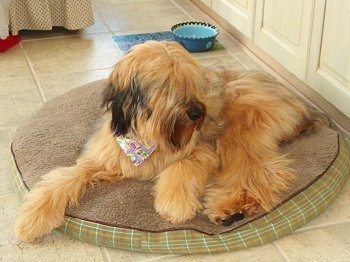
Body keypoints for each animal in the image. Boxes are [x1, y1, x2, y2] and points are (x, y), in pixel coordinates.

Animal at [15, 40, 322, 242]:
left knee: (257, 172)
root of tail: (303, 105)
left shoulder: (200, 150)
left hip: (239, 128)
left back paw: (230, 208)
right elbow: (62, 179)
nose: (197, 113)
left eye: (191, 82)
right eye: (166, 85)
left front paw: (175, 206)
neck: (149, 136)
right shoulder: (103, 157)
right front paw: (32, 218)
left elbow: (181, 169)